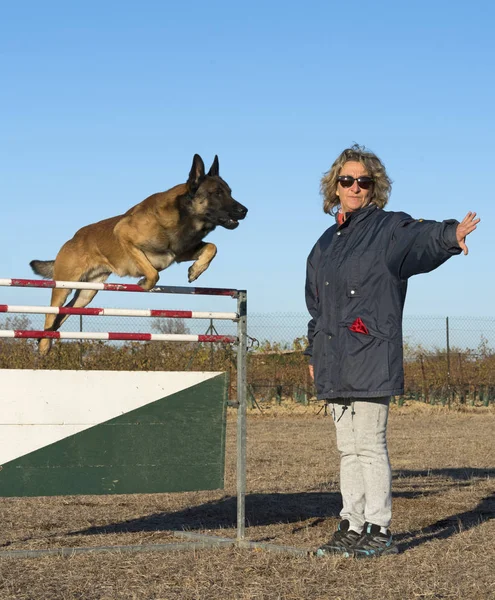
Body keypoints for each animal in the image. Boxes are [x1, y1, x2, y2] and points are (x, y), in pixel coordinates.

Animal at [30, 152, 248, 354]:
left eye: (230, 192)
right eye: (216, 193)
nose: (244, 210)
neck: (183, 214)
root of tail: (73, 238)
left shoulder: (179, 253)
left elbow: (212, 247)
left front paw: (196, 270)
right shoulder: (124, 234)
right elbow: (153, 273)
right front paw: (144, 282)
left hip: (86, 294)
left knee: (60, 316)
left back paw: (45, 340)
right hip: (63, 286)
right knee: (50, 313)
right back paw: (43, 345)